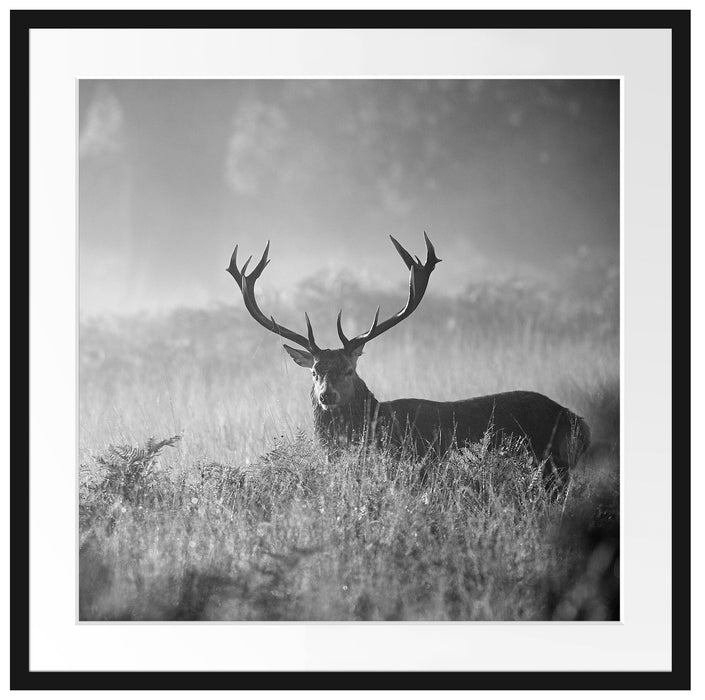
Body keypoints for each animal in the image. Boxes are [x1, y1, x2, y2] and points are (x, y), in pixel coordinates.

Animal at [227, 233, 591, 491]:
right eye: (315, 371)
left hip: (550, 464)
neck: (377, 425)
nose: (326, 395)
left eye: (349, 369)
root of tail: (580, 423)